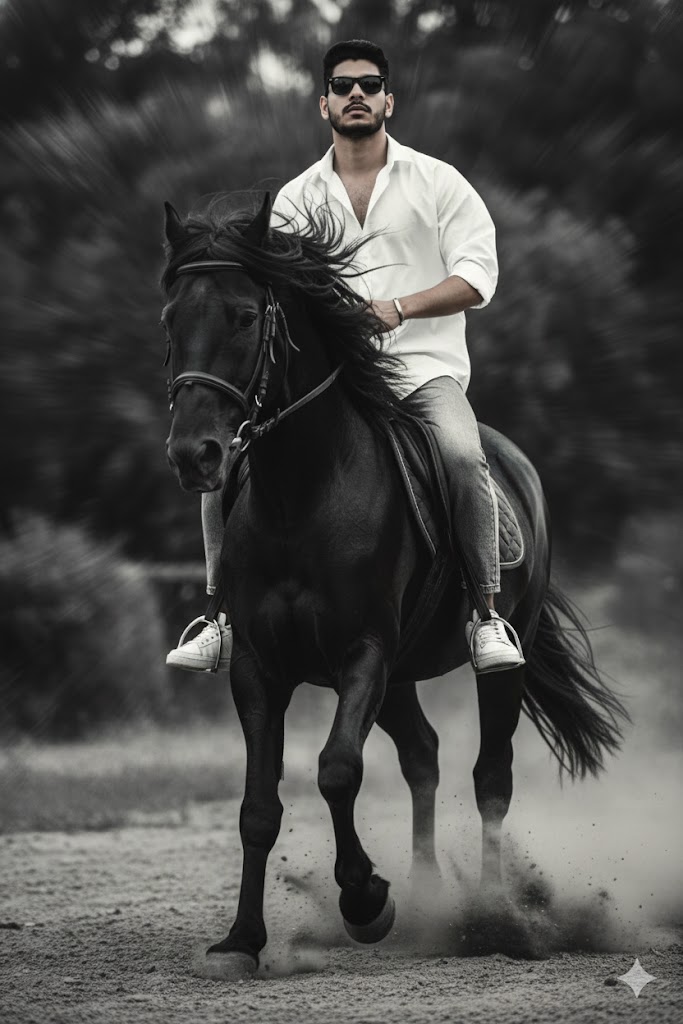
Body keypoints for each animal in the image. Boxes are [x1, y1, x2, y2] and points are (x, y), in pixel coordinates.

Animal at [161, 192, 628, 979]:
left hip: (490, 664)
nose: (195, 455)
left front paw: (365, 900)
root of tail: (516, 465)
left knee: (490, 777)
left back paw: (489, 917)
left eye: (245, 316)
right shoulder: (260, 667)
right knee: (423, 757)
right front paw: (241, 941)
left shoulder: (363, 653)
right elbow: (258, 807)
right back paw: (428, 895)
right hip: (401, 677)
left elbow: (336, 771)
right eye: (171, 319)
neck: (301, 496)